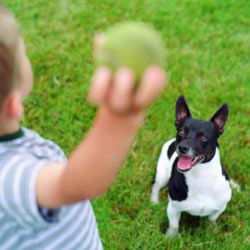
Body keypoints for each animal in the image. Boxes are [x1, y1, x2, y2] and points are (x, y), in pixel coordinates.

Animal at [150, 95, 238, 236]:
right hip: (162, 174)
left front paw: (212, 229)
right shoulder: (173, 208)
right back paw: (154, 202)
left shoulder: (220, 207)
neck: (200, 176)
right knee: (156, 187)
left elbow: (212, 219)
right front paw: (170, 237)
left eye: (204, 137)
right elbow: (174, 225)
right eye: (181, 132)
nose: (182, 147)